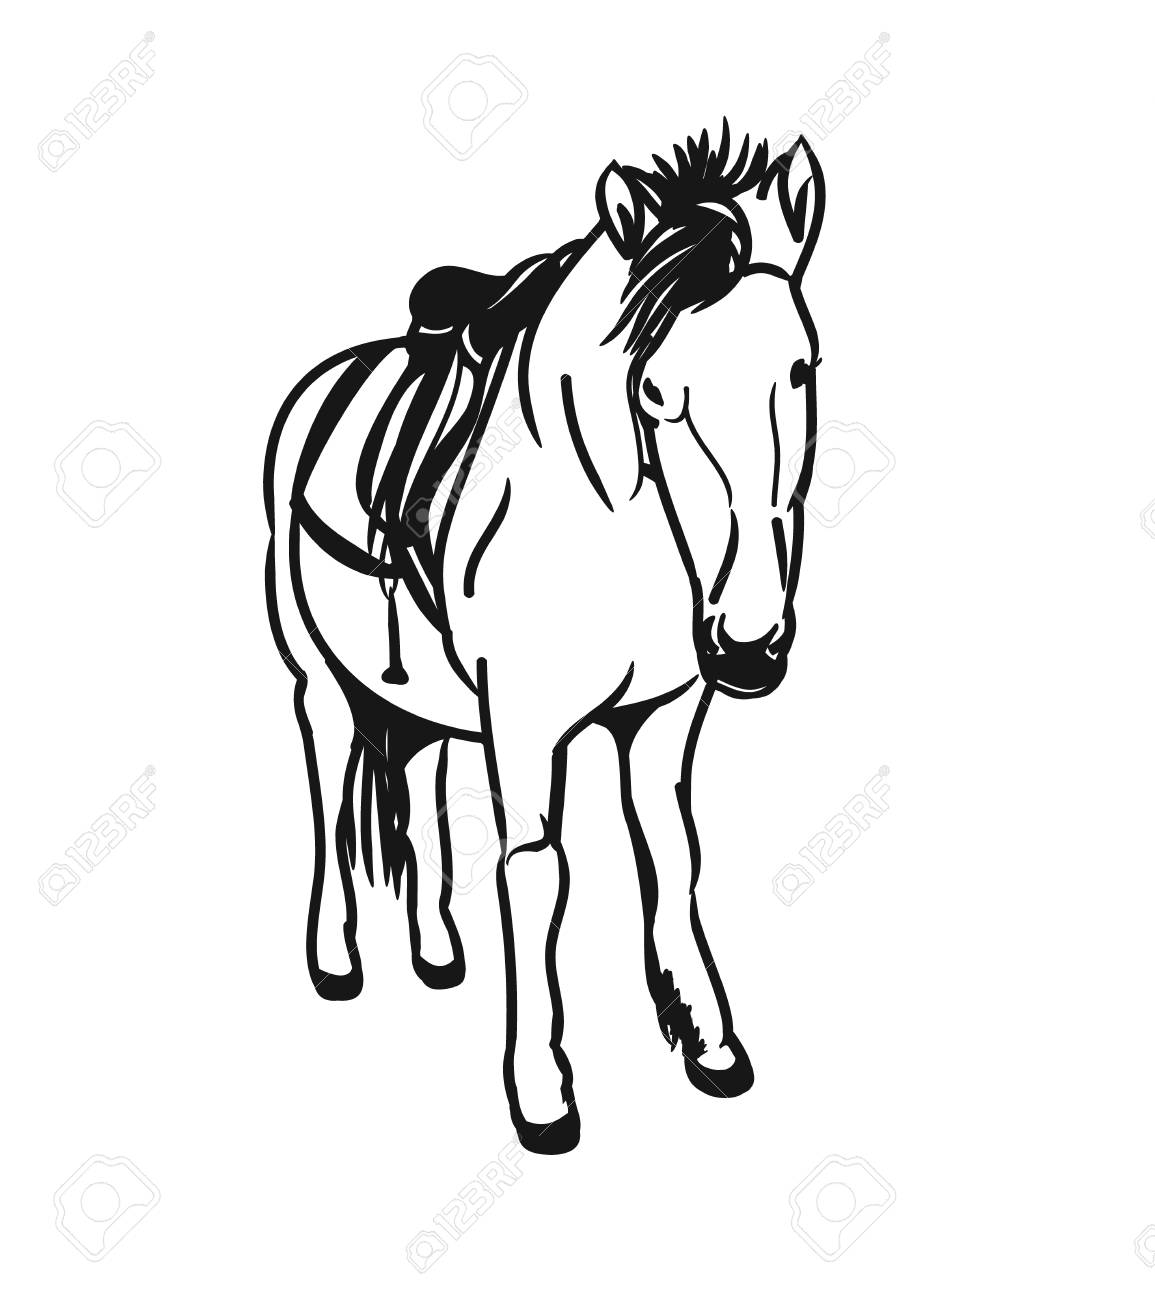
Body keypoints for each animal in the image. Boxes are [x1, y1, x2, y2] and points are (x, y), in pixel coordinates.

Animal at [264, 125, 825, 1154]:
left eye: (801, 369)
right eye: (655, 391)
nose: (748, 645)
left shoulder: (662, 715)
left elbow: (671, 856)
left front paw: (708, 1040)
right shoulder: (523, 726)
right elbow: (533, 875)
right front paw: (541, 1092)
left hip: (432, 700)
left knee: (424, 779)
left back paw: (438, 953)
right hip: (314, 675)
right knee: (325, 777)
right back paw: (335, 958)